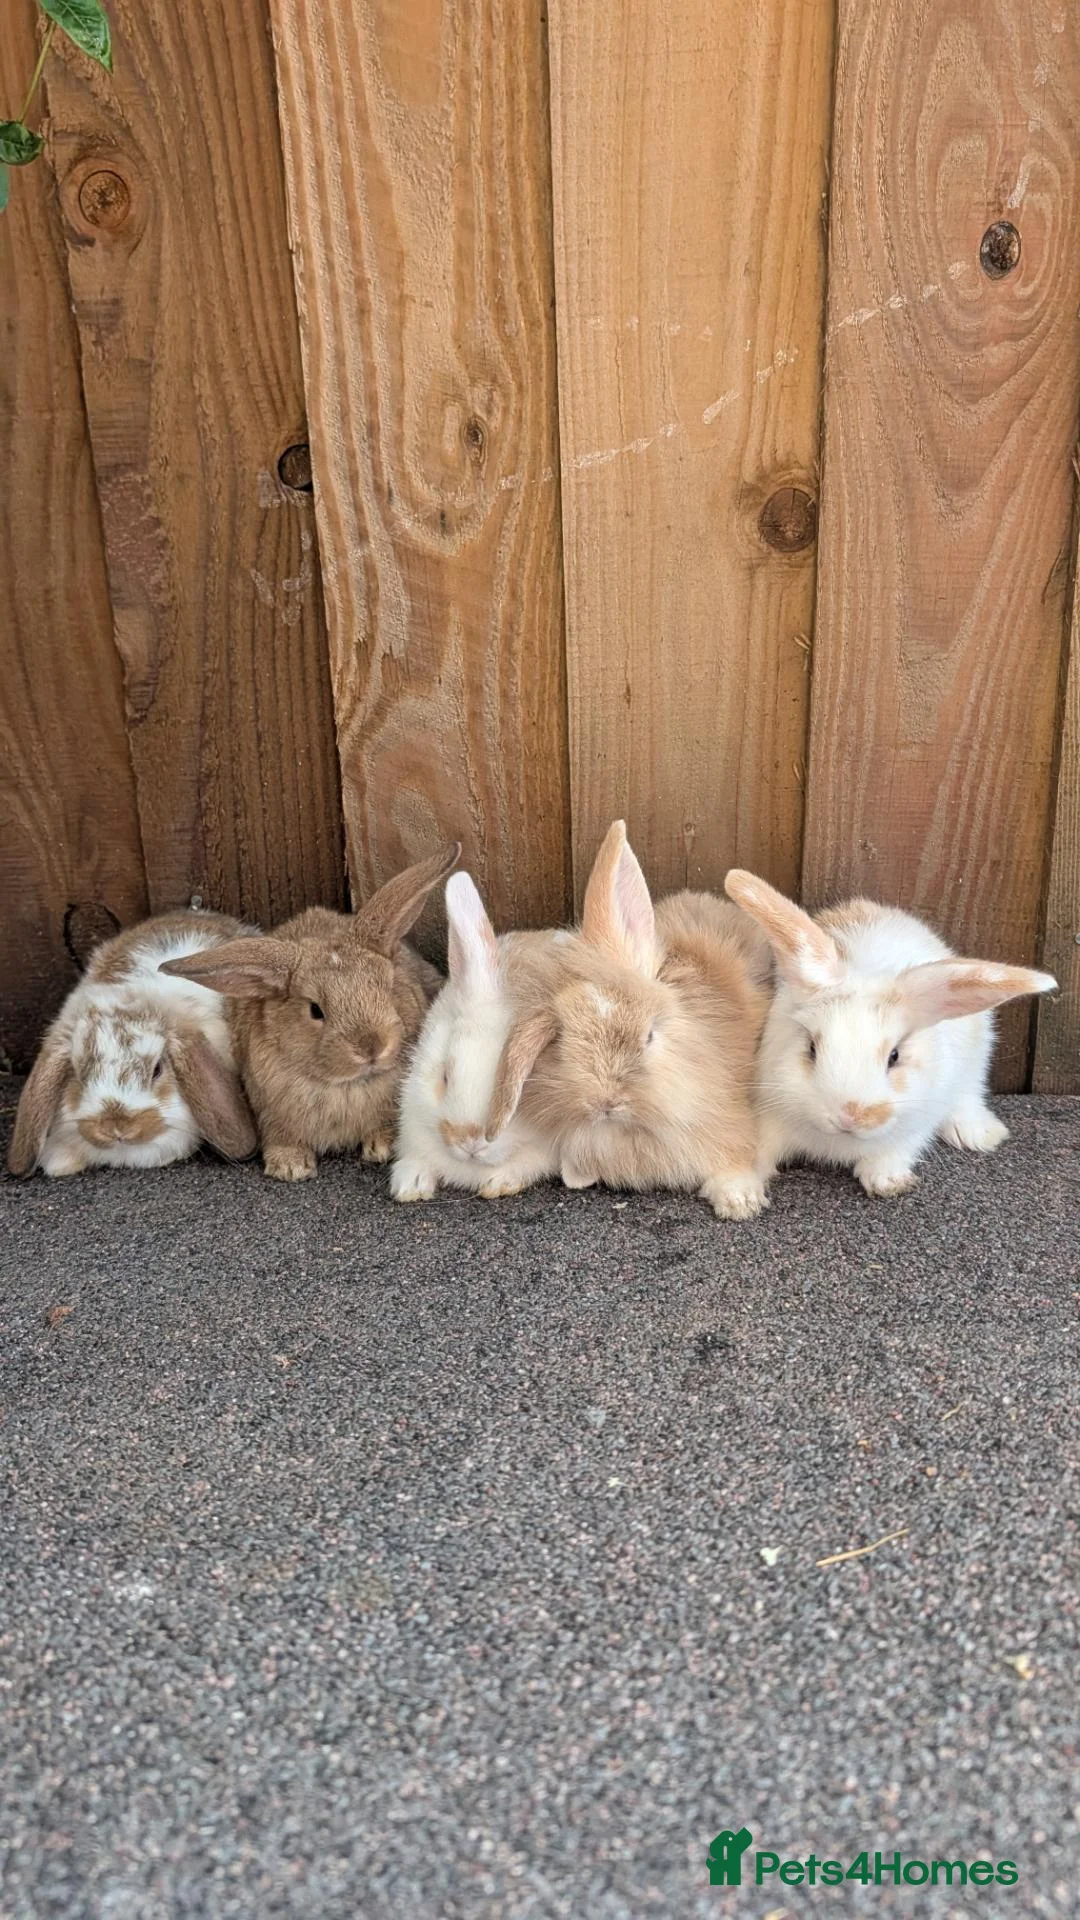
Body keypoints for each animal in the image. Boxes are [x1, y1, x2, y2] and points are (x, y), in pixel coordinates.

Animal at [160, 844, 460, 1180]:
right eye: (315, 1010)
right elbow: (282, 1136)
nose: (372, 1047)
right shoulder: (272, 1112)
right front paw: (290, 1168)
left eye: (389, 986)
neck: (346, 1086)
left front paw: (382, 1148)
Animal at [482, 821, 774, 1219]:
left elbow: (735, 1158)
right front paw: (498, 1180)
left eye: (649, 1036)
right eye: (562, 1043)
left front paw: (739, 1203)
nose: (606, 1102)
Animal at [723, 869, 1057, 1199]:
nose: (851, 1115)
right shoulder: (769, 1112)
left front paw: (887, 1181)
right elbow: (753, 1151)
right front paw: (739, 1192)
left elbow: (894, 1152)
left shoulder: (915, 1122)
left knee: (968, 1094)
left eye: (894, 1056)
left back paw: (979, 1134)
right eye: (811, 1048)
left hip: (975, 1059)